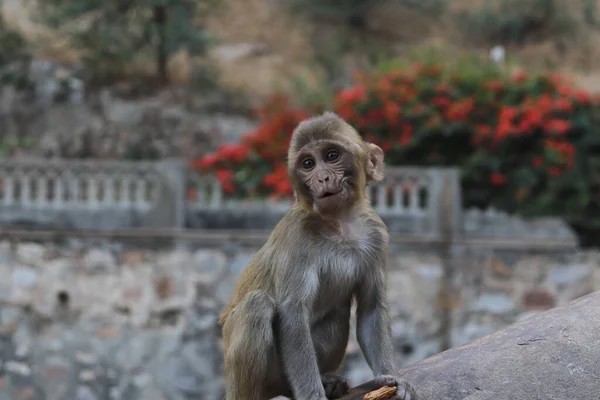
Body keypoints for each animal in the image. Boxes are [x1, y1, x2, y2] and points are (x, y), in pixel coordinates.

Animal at [218, 110, 420, 400]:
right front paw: (313, 394)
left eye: (331, 156)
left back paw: (326, 381)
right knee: (257, 305)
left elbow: (370, 308)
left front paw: (391, 377)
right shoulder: (297, 236)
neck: (339, 223)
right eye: (308, 164)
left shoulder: (376, 235)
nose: (322, 177)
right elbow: (293, 312)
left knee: (339, 309)